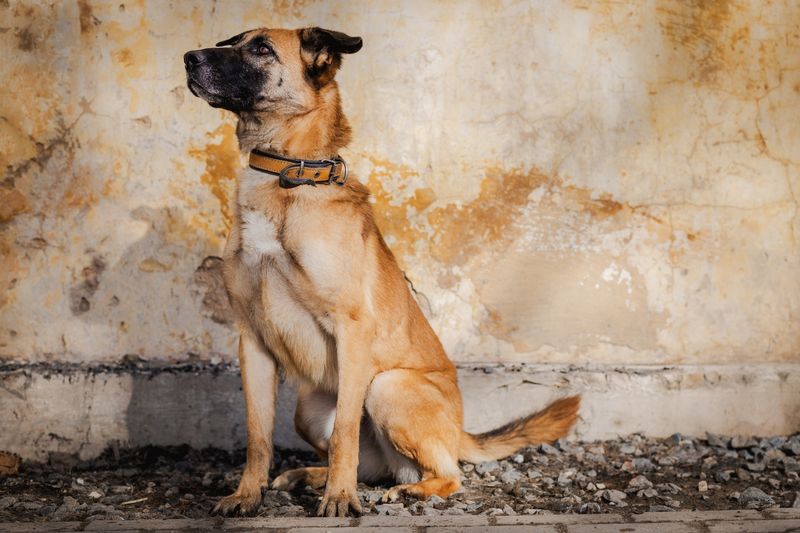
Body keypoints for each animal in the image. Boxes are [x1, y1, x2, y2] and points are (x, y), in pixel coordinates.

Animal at [184, 26, 580, 518]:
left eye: (261, 48)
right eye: (234, 40)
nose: (189, 57)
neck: (286, 176)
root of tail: (459, 432)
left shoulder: (352, 329)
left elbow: (345, 433)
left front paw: (339, 499)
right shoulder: (252, 341)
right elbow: (258, 437)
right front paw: (246, 495)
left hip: (387, 386)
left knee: (447, 474)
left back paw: (406, 490)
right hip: (307, 410)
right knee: (375, 467)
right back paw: (309, 475)